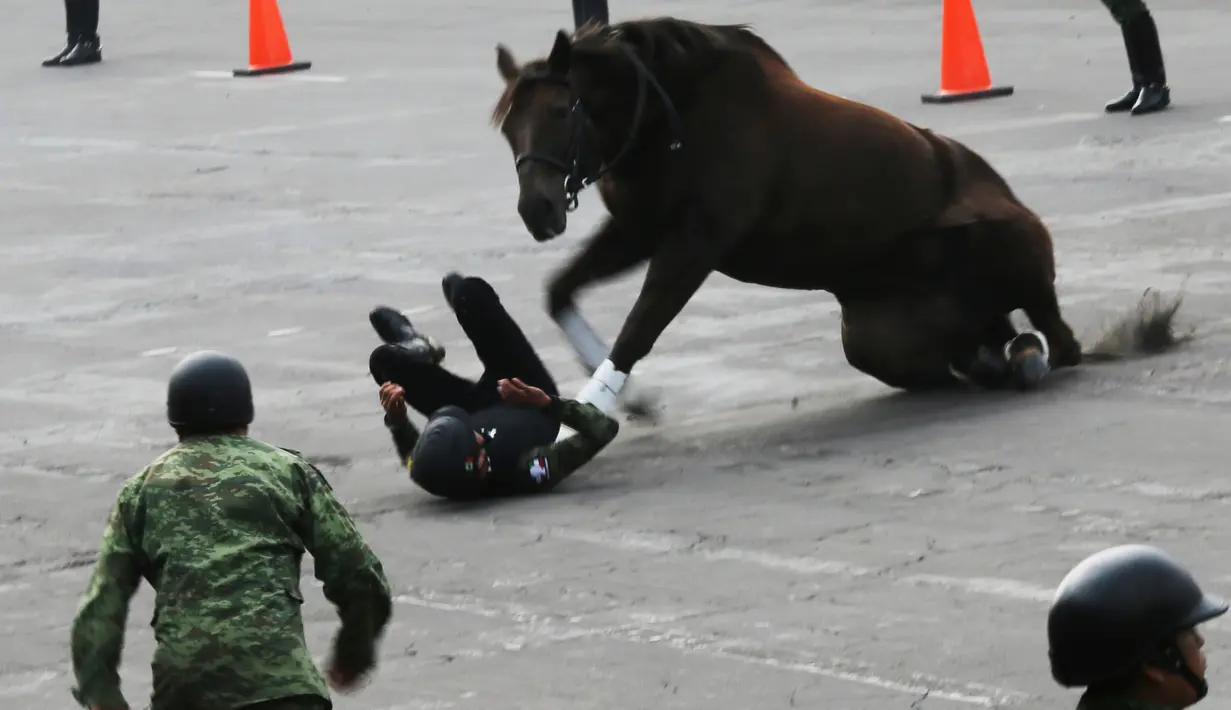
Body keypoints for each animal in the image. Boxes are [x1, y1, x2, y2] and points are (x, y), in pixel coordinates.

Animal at [489, 17, 1191, 420]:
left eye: (560, 110)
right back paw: (998, 357)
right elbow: (560, 292)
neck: (677, 115)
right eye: (506, 127)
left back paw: (1029, 355)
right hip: (877, 338)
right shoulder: (640, 230)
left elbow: (639, 328)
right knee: (983, 350)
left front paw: (597, 410)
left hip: (1014, 258)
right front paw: (626, 397)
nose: (537, 210)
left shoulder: (696, 242)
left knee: (1057, 340)